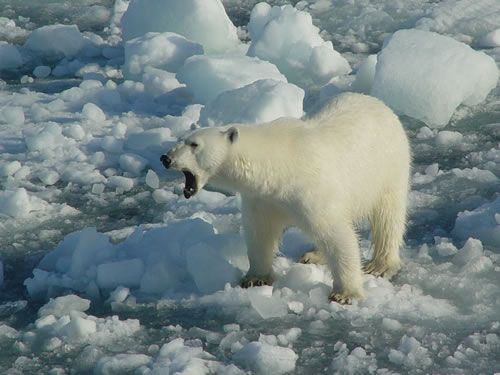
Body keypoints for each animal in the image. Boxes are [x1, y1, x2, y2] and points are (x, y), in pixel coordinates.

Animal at [161, 92, 410, 304]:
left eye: (194, 145)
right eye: (181, 139)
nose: (165, 158)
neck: (277, 167)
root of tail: (380, 104)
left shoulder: (312, 191)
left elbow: (337, 235)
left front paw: (345, 294)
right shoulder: (263, 198)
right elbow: (260, 233)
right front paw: (254, 278)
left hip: (388, 167)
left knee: (388, 216)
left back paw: (380, 265)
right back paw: (313, 255)